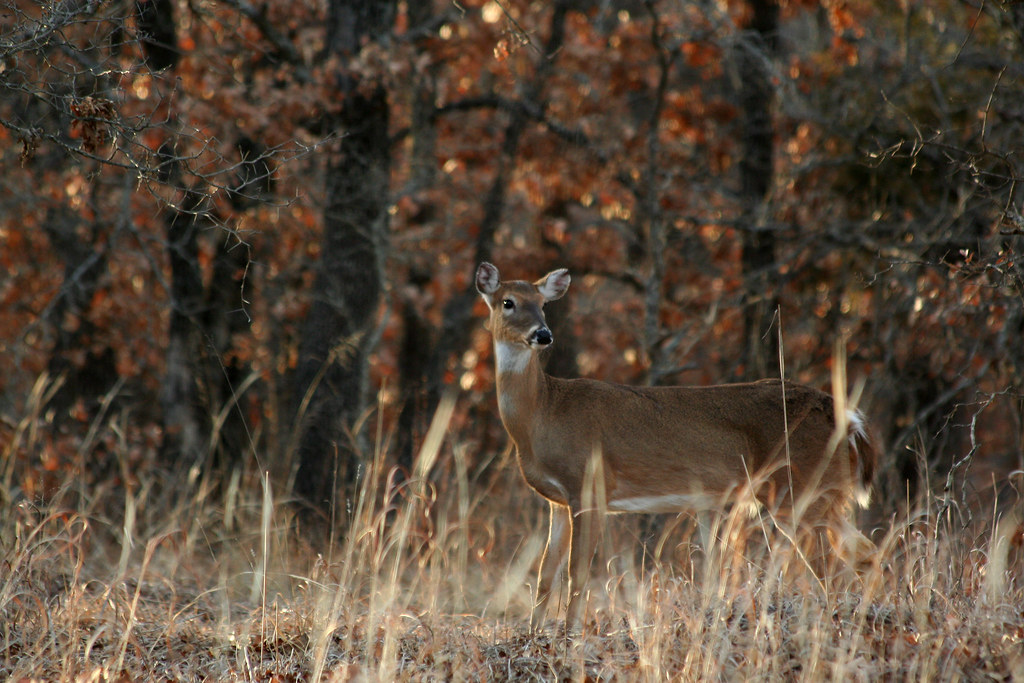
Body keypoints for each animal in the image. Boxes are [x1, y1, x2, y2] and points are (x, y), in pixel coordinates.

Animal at [475, 262, 877, 628]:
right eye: (508, 302)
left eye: (543, 304)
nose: (543, 334)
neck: (544, 412)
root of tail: (846, 418)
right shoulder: (556, 501)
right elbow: (545, 574)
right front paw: (533, 632)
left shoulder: (589, 485)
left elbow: (578, 573)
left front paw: (570, 634)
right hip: (820, 494)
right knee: (862, 553)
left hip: (798, 489)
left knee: (828, 562)